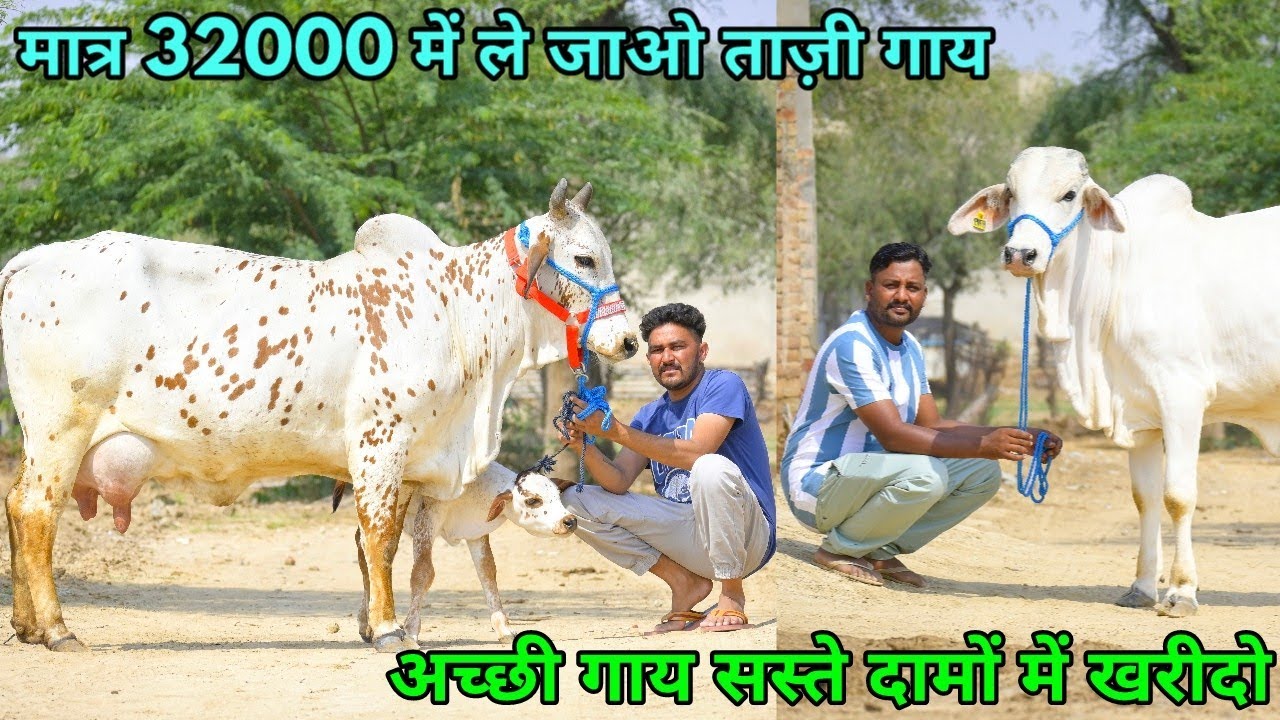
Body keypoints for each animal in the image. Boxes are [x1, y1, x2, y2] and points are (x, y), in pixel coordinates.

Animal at [333, 463, 575, 643]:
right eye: (533, 500)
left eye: (558, 496)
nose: (569, 521)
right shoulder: (427, 521)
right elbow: (423, 573)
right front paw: (410, 632)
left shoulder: (476, 533)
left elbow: (488, 574)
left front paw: (503, 629)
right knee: (368, 551)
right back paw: (370, 625)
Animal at [948, 146, 1280, 617]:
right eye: (1011, 192)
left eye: (1070, 194)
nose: (1020, 254)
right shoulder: (1139, 413)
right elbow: (1145, 498)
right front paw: (1141, 587)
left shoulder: (1183, 397)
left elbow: (1178, 495)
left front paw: (1182, 591)